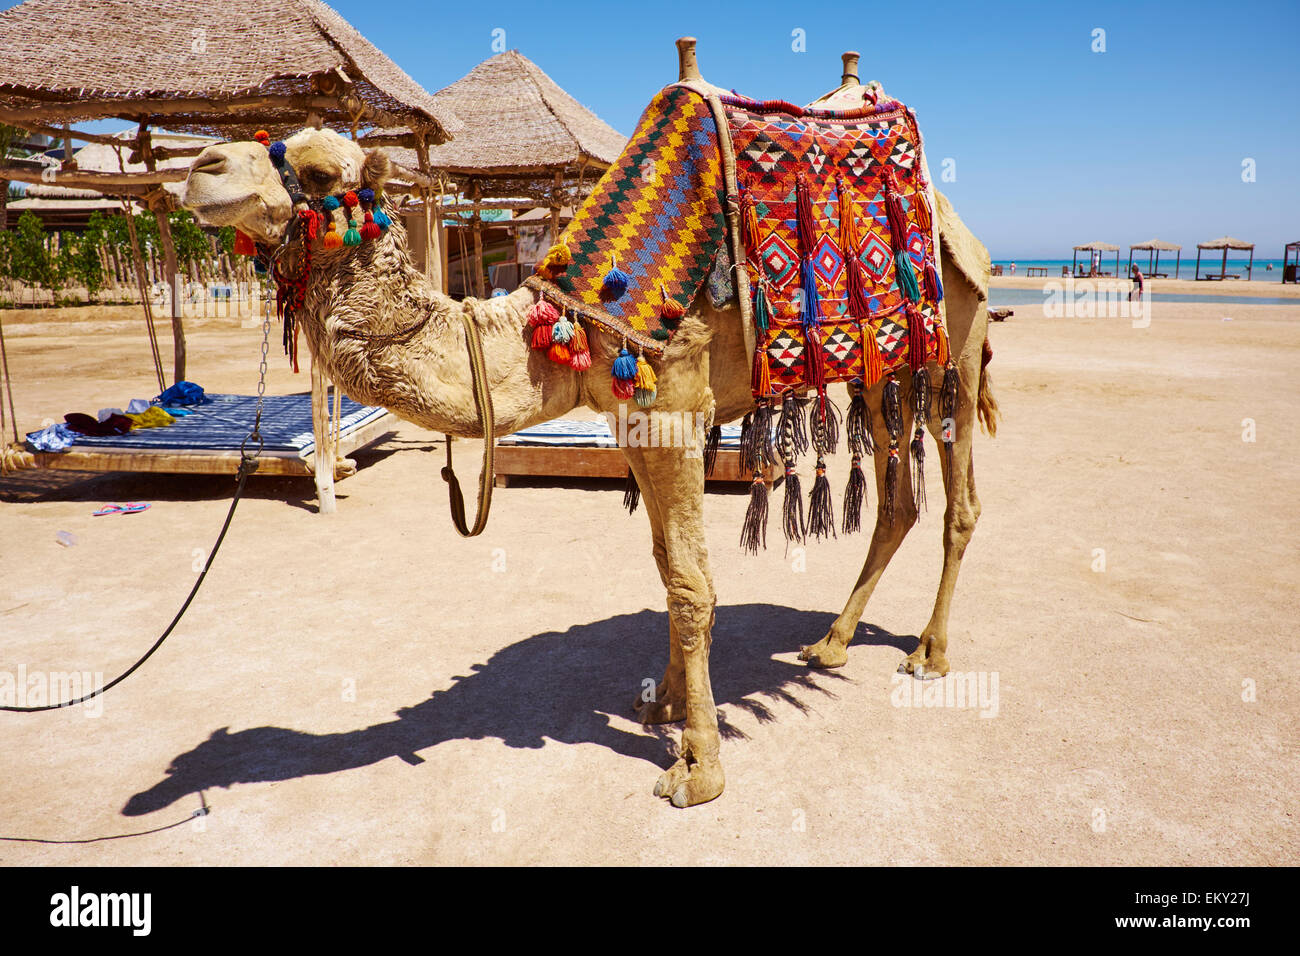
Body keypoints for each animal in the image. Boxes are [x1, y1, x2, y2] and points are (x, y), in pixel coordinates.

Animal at [180, 74, 993, 811]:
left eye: (320, 172)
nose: (201, 166)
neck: (562, 325)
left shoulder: (675, 411)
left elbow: (693, 585)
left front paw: (700, 769)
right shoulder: (631, 419)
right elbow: (666, 568)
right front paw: (665, 705)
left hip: (953, 340)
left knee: (959, 503)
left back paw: (929, 652)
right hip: (880, 371)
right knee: (897, 500)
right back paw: (830, 642)